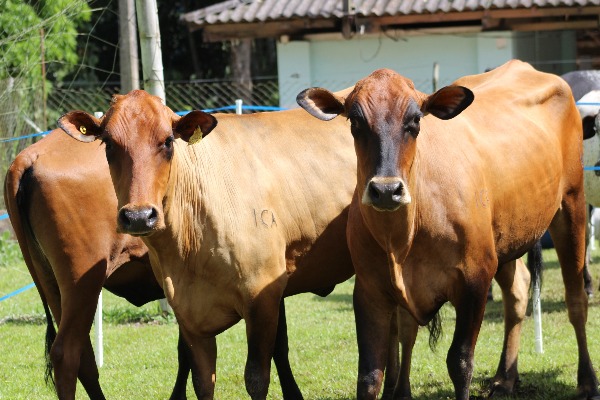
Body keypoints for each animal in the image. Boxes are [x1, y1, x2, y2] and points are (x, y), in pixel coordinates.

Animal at [298, 59, 596, 400]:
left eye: (415, 120)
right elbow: (371, 374)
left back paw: (588, 381)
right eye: (356, 121)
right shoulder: (370, 289)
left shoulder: (474, 279)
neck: (402, 239)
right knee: (518, 292)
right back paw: (505, 377)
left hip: (572, 202)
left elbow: (460, 362)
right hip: (505, 238)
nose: (386, 190)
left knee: (576, 299)